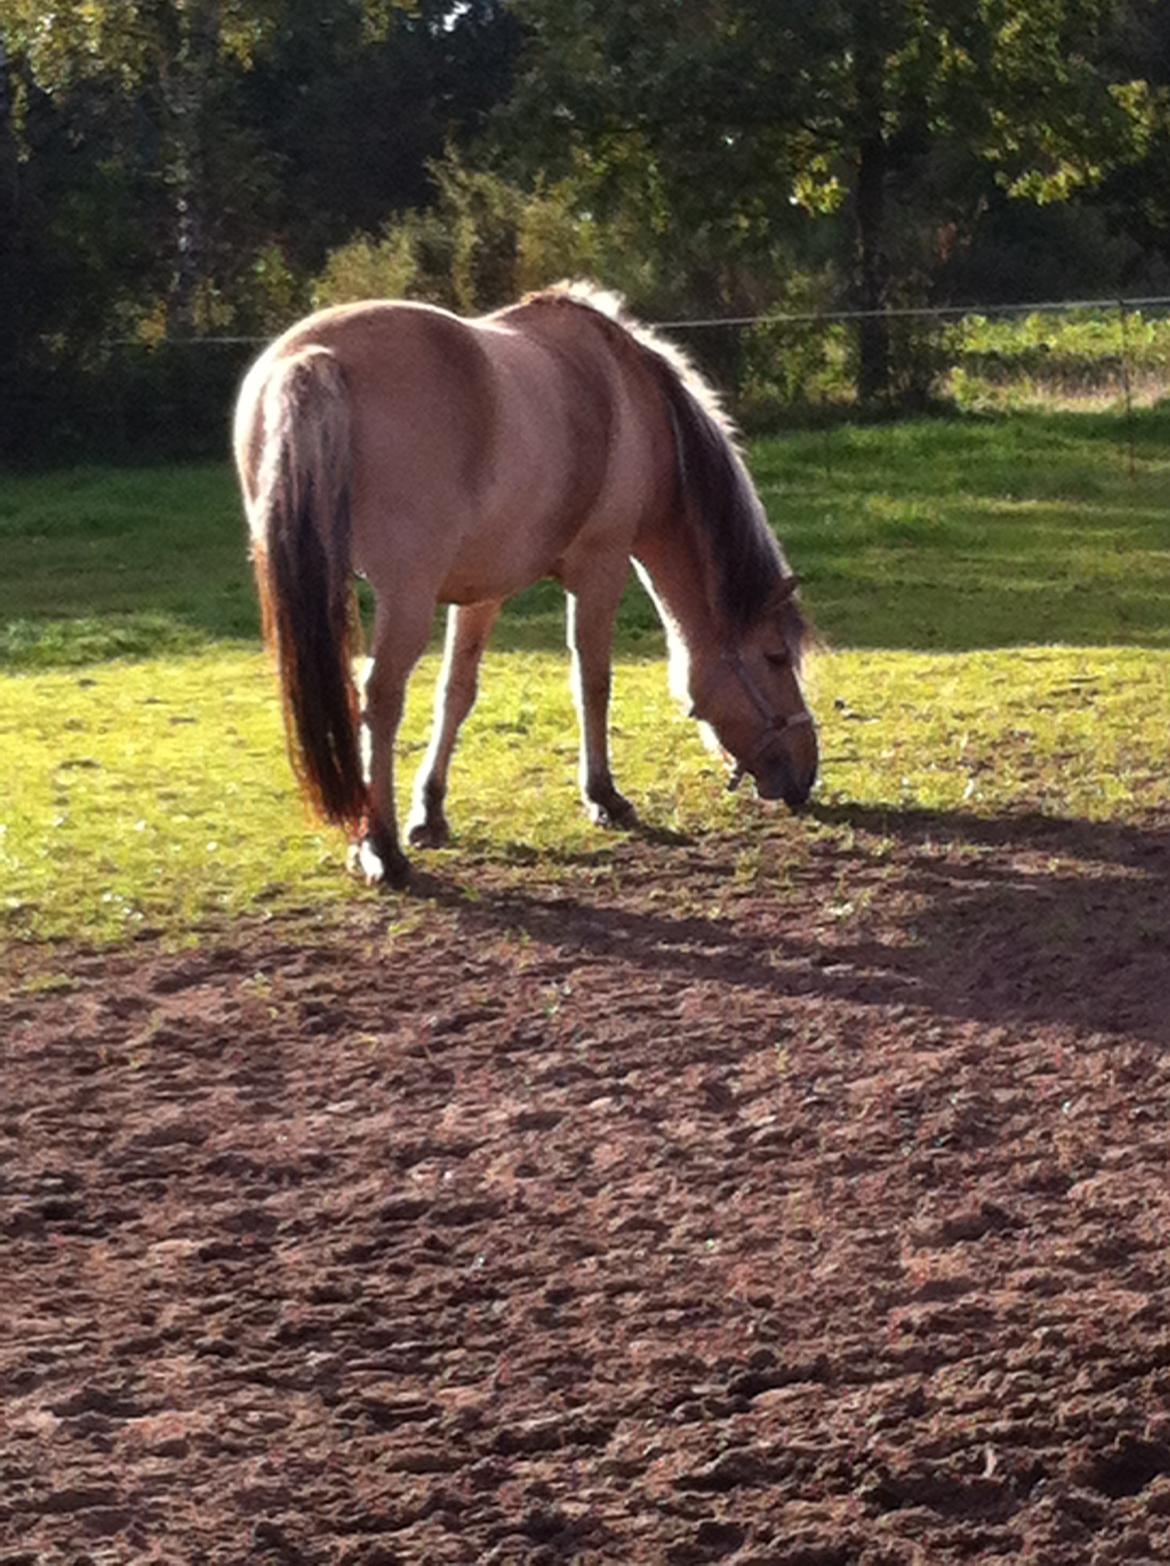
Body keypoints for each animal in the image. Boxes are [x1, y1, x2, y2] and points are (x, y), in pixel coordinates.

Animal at [233, 283, 820, 889]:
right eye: (775, 657)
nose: (806, 772)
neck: (634, 404)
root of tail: (314, 359)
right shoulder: (601, 569)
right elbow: (592, 681)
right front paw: (604, 796)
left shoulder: (481, 593)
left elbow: (456, 693)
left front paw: (431, 810)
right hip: (407, 599)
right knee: (381, 699)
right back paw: (382, 848)